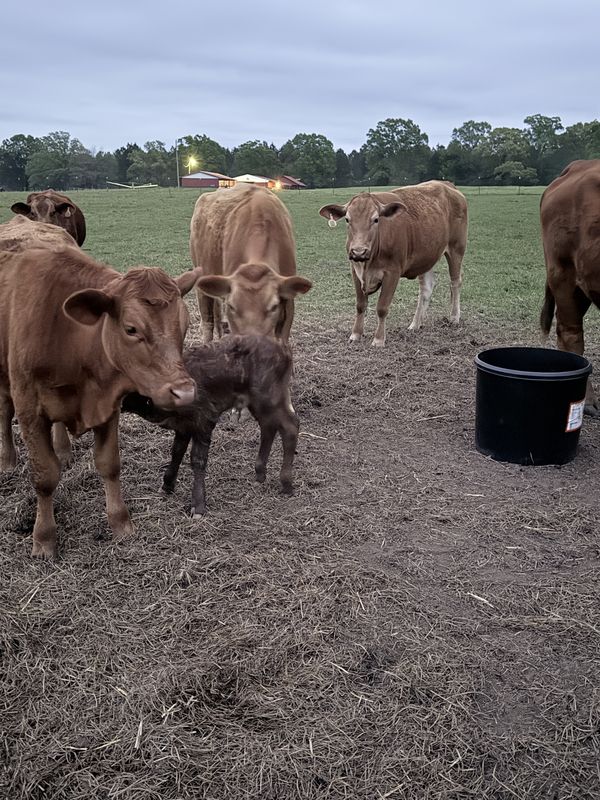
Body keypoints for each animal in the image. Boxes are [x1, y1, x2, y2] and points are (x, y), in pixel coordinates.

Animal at [0, 246, 202, 558]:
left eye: (184, 325)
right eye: (131, 329)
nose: (185, 392)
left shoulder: (108, 406)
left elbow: (110, 464)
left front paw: (120, 523)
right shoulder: (29, 410)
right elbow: (45, 477)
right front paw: (44, 539)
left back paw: (63, 451)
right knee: (3, 413)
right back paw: (8, 460)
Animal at [122, 335, 299, 517]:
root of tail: (285, 350)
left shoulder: (204, 420)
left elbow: (197, 459)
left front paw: (198, 506)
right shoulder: (184, 426)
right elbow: (177, 451)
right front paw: (167, 485)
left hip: (270, 397)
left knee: (290, 426)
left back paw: (286, 484)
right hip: (258, 402)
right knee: (268, 426)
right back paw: (260, 474)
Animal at [319, 181, 468, 346]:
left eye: (376, 219)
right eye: (347, 219)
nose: (358, 252)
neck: (368, 264)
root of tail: (446, 184)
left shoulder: (392, 273)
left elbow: (382, 307)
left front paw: (378, 339)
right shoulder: (355, 270)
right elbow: (360, 305)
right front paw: (356, 334)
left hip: (456, 248)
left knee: (455, 282)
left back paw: (454, 317)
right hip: (427, 255)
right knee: (426, 288)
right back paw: (415, 324)